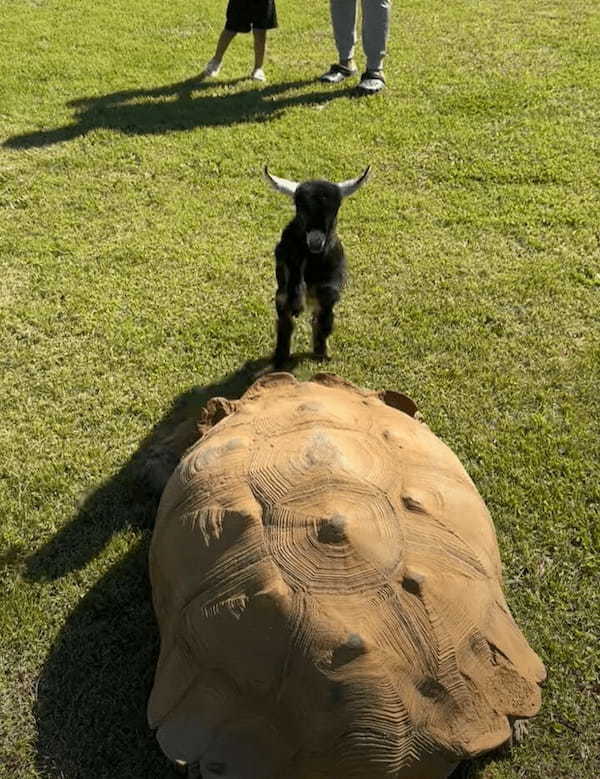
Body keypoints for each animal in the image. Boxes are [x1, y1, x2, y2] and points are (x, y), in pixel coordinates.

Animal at [264, 164, 368, 368]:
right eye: (301, 210)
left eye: (334, 211)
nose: (315, 241)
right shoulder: (286, 267)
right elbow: (288, 309)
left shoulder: (334, 276)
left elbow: (325, 313)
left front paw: (322, 351)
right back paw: (281, 357)